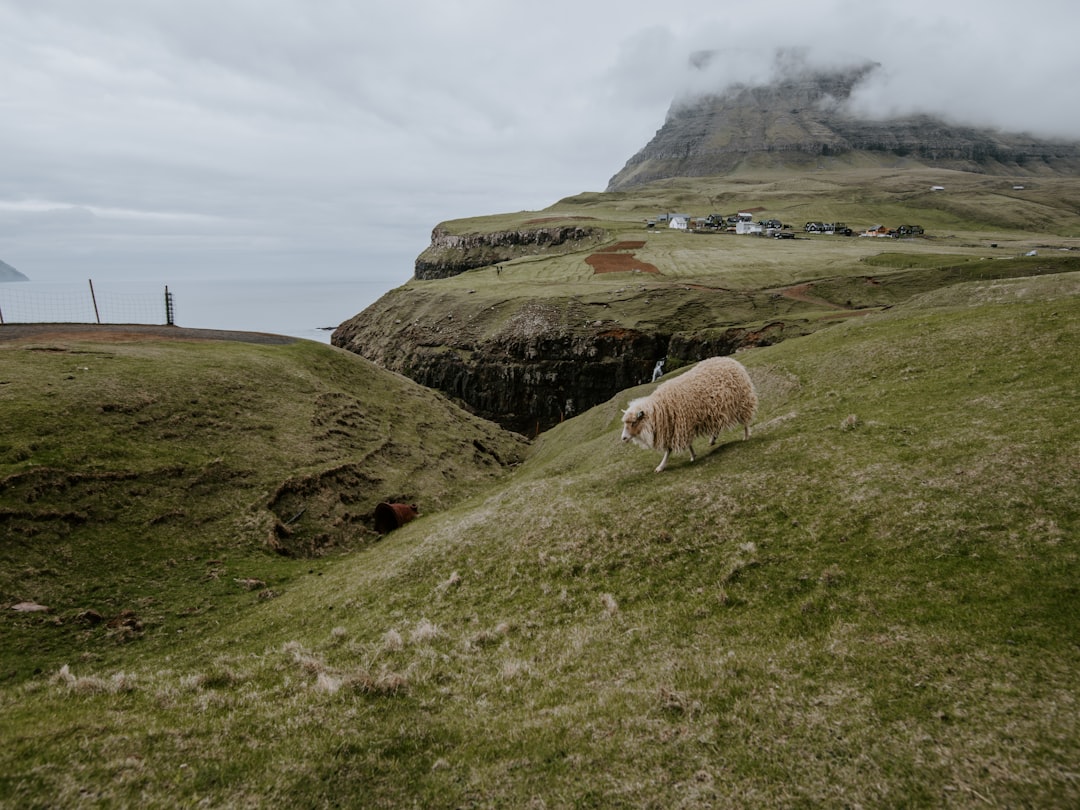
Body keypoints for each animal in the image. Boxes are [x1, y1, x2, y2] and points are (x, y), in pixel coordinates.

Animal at [622, 356, 756, 475]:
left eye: (633, 422)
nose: (623, 438)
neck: (660, 407)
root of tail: (730, 360)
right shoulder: (680, 426)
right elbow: (686, 444)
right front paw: (692, 456)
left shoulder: (678, 426)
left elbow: (669, 449)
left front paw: (661, 466)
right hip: (717, 409)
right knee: (718, 424)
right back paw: (713, 439)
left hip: (741, 400)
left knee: (745, 420)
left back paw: (746, 436)